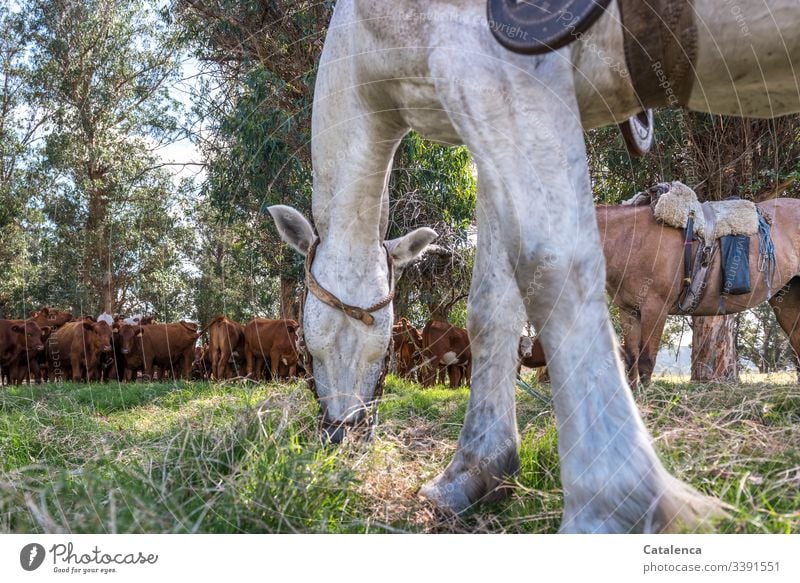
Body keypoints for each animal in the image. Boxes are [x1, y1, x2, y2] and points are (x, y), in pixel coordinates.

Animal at [600, 198, 800, 386]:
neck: (631, 240)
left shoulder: (655, 309)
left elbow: (646, 362)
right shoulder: (629, 311)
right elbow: (631, 360)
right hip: (787, 301)